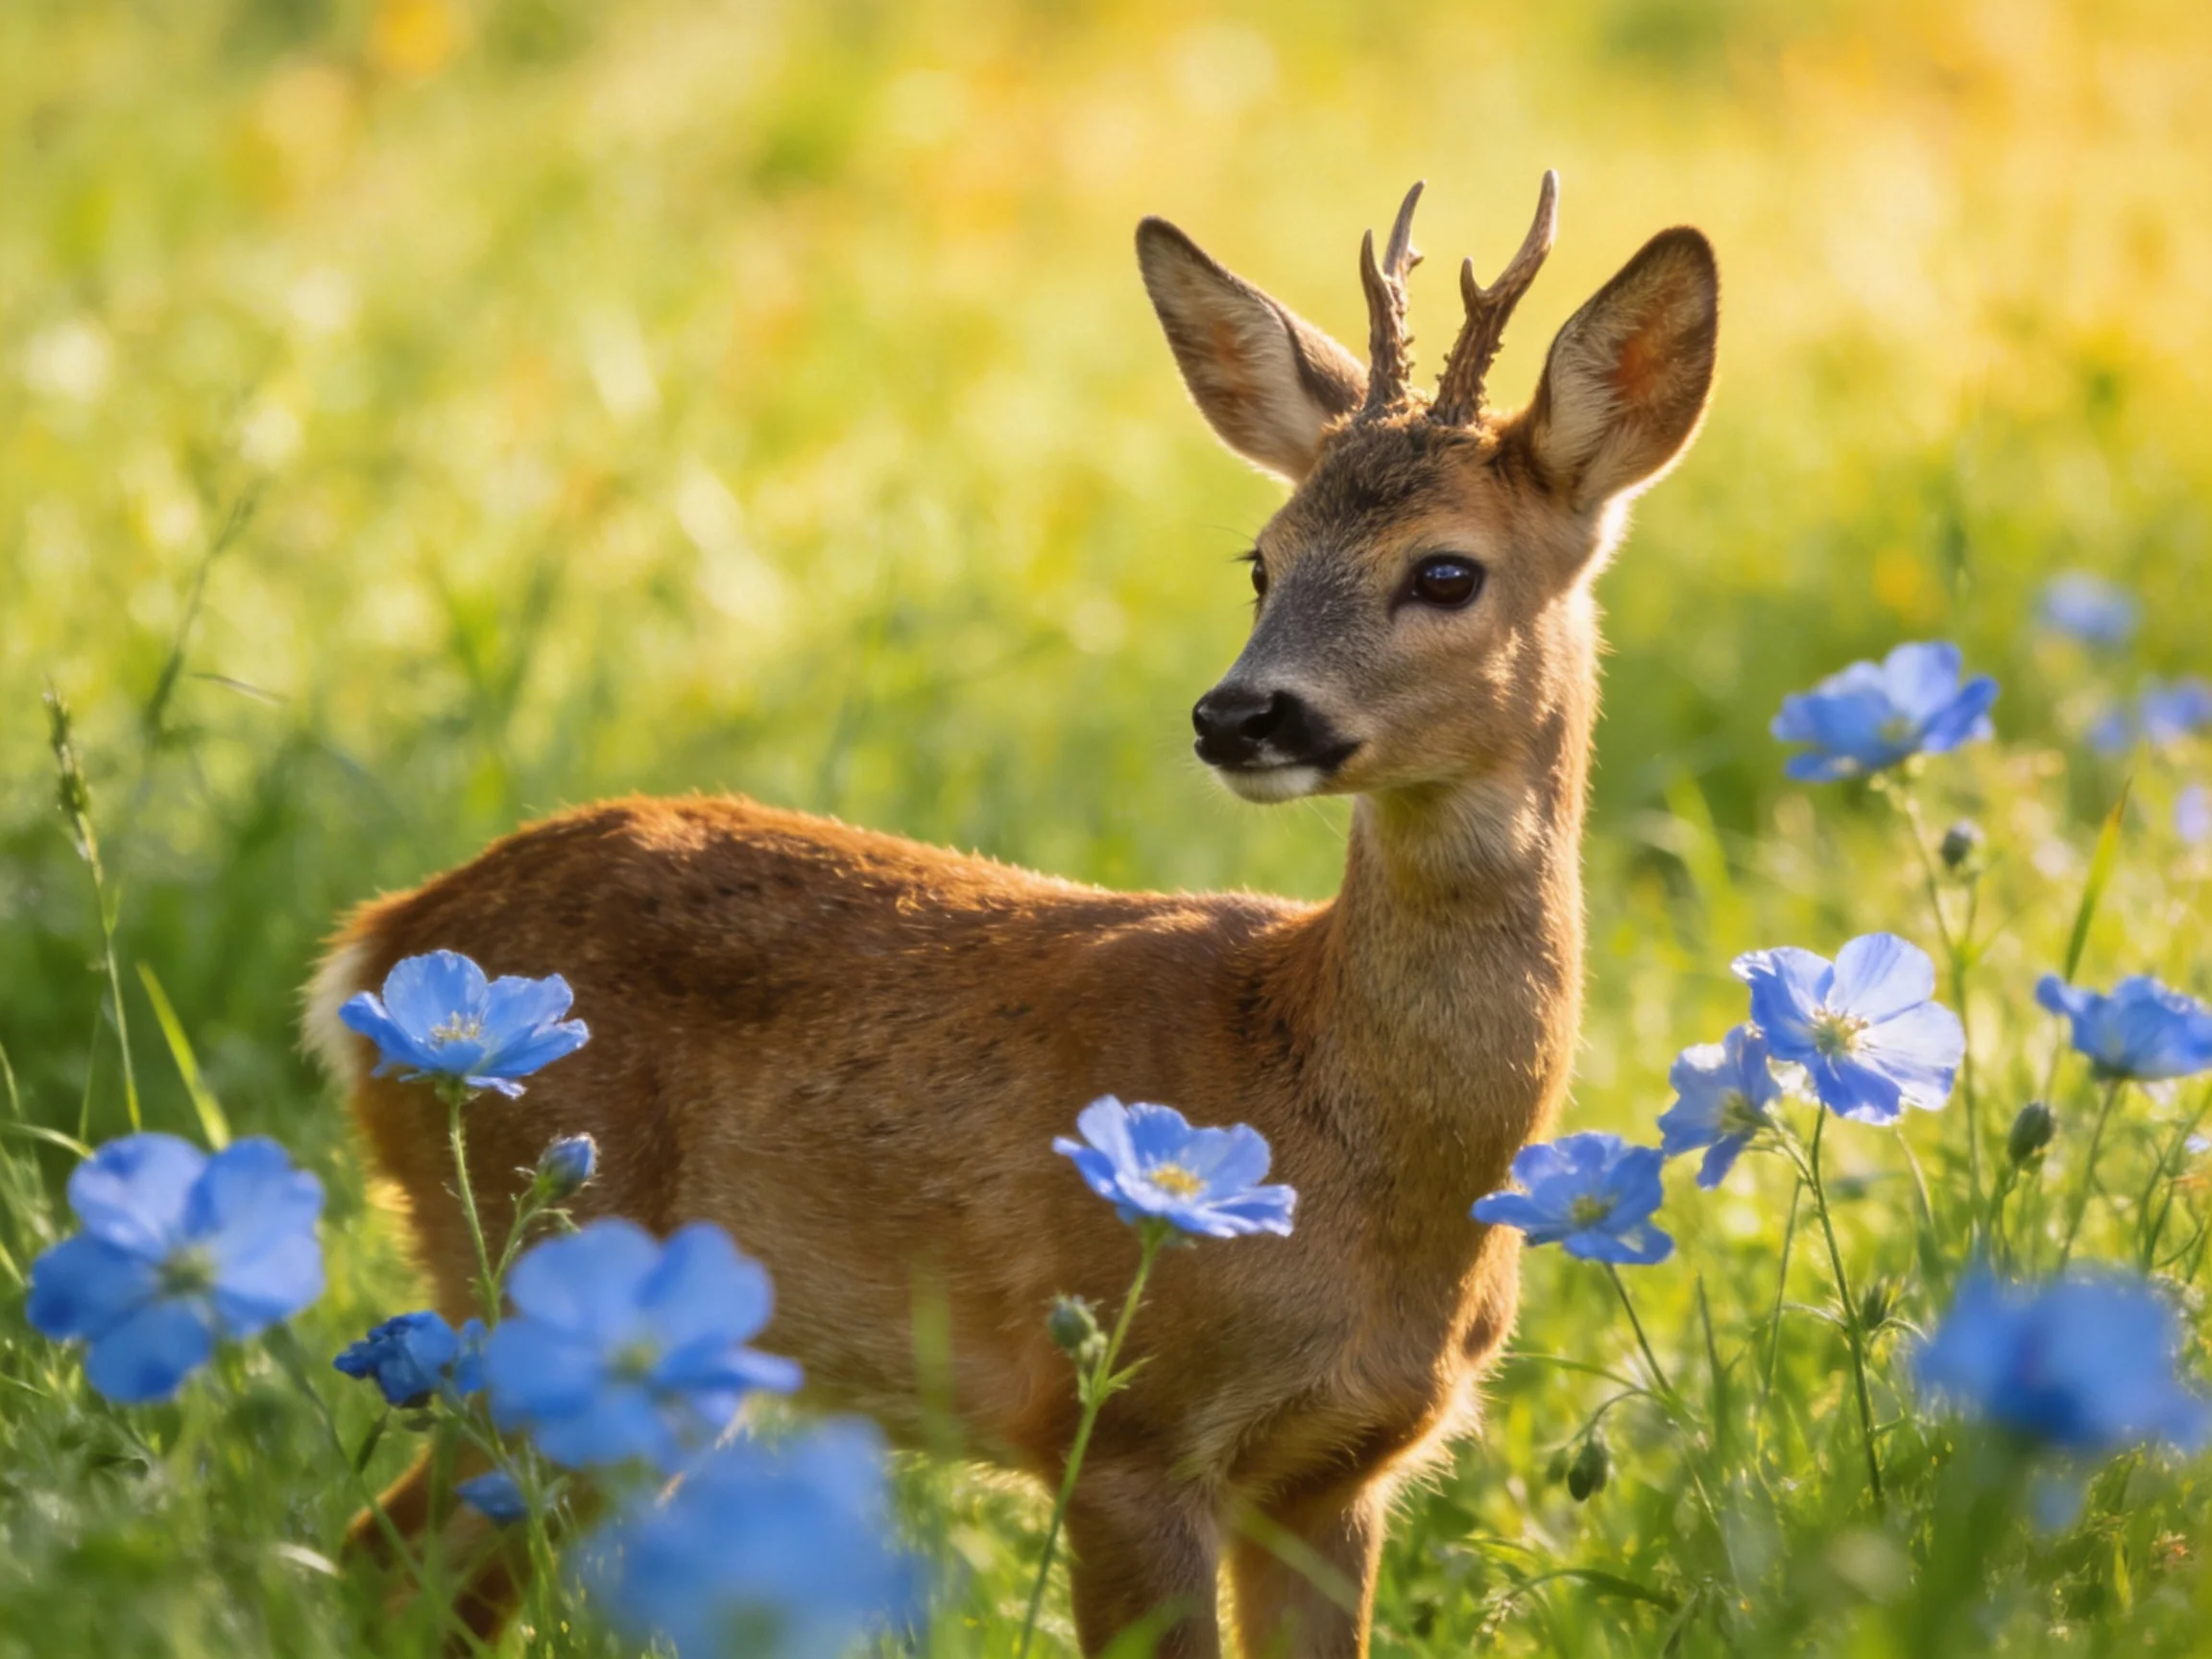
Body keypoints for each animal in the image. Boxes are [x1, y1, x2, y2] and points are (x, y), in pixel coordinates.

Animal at [305, 172, 1718, 1657]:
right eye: (1262, 560)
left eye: (1447, 572)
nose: (1238, 714)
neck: (1346, 1129)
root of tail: (374, 945)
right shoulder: (1120, 1431)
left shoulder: (1342, 1468)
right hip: (531, 1270)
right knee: (382, 1556)